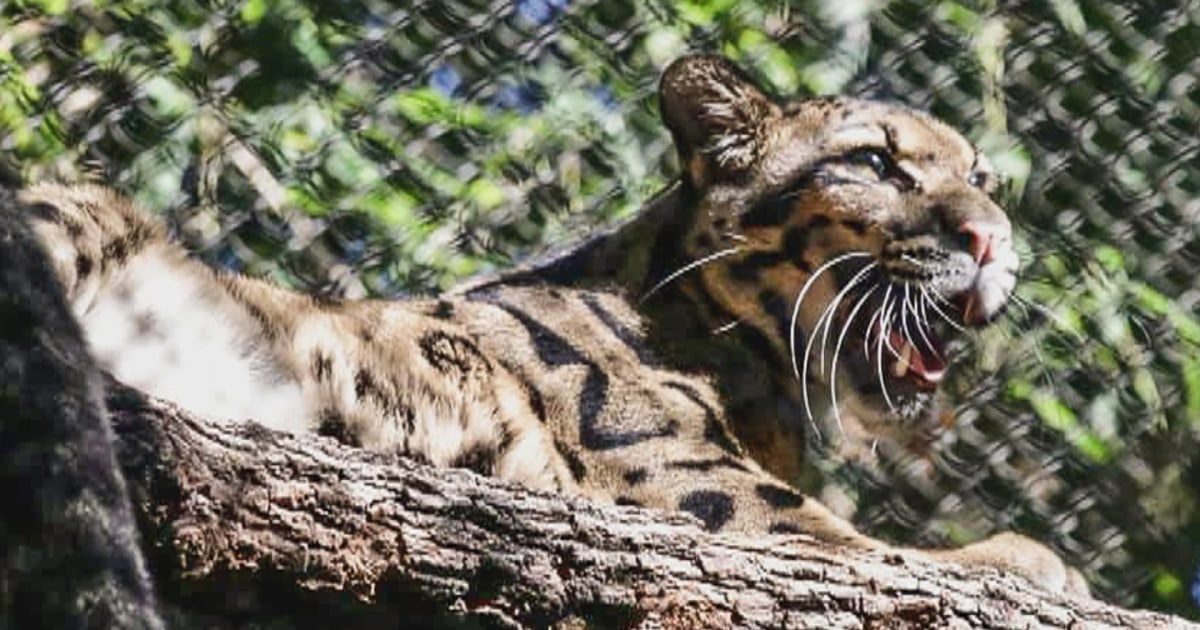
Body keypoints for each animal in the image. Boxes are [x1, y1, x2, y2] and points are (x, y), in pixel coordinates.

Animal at [16, 53, 1087, 597]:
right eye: (874, 163)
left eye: (983, 180)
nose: (993, 238)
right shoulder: (691, 487)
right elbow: (857, 545)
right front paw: (1031, 561)